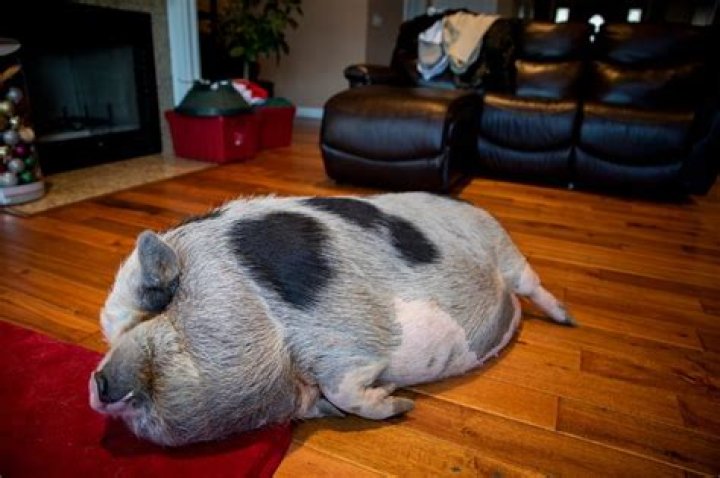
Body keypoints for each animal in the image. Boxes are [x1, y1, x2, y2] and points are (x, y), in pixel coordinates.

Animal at [89, 192, 574, 446]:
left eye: (149, 317)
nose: (96, 384)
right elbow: (338, 399)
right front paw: (395, 399)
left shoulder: (344, 339)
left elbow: (349, 387)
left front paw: (401, 402)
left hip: (504, 247)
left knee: (533, 283)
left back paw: (568, 321)